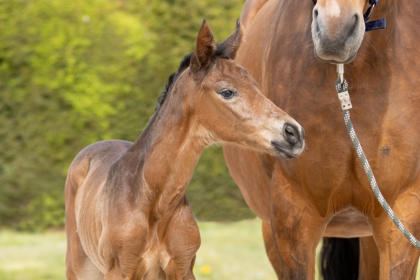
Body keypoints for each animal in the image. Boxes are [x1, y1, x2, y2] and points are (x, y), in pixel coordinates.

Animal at [64, 21, 304, 280]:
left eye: (257, 87)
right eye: (227, 92)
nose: (294, 133)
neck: (154, 202)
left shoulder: (183, 268)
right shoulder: (120, 271)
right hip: (80, 267)